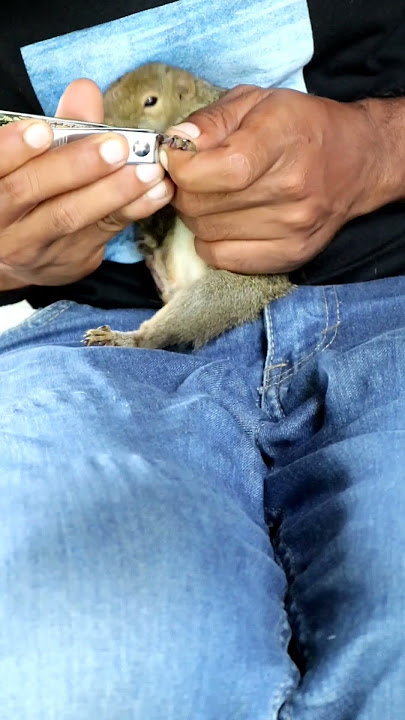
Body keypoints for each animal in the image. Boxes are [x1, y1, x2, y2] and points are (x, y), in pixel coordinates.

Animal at [84, 62, 294, 350]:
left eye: (151, 101)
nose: (111, 128)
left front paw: (184, 143)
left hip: (215, 298)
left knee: (156, 337)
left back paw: (122, 339)